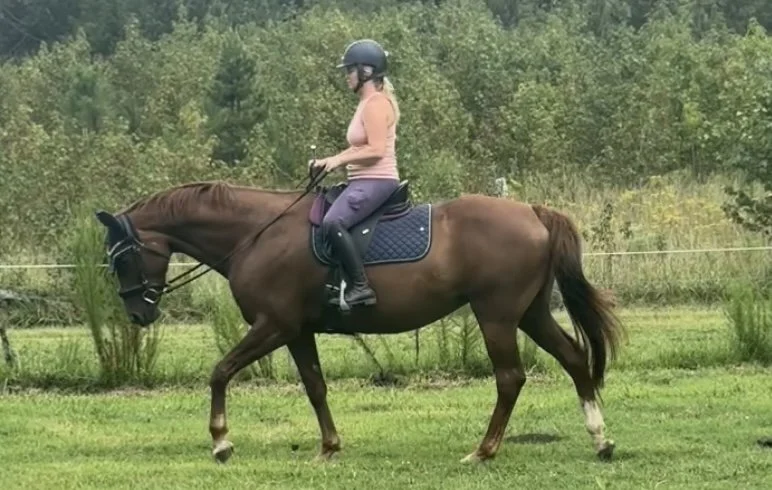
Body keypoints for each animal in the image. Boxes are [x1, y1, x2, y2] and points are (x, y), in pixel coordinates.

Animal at [94, 177, 625, 464]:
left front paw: (222, 443)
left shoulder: (273, 325)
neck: (255, 234)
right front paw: (329, 447)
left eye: (122, 258)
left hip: (495, 315)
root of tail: (534, 213)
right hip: (529, 313)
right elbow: (315, 387)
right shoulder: (297, 331)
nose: (138, 313)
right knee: (575, 359)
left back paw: (485, 450)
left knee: (510, 377)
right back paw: (600, 439)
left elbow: (220, 371)